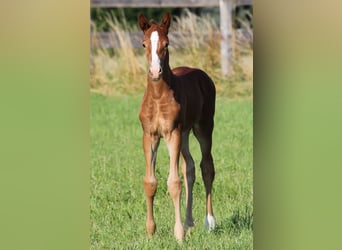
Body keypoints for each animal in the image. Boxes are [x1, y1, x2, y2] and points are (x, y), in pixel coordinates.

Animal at [138, 12, 215, 241]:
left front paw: (178, 234)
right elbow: (150, 182)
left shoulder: (172, 134)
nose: (155, 72)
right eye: (143, 43)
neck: (157, 97)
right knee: (189, 167)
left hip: (203, 128)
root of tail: (201, 73)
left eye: (167, 43)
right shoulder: (150, 135)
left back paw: (209, 222)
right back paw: (190, 222)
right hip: (186, 133)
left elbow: (173, 183)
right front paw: (150, 231)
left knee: (206, 167)